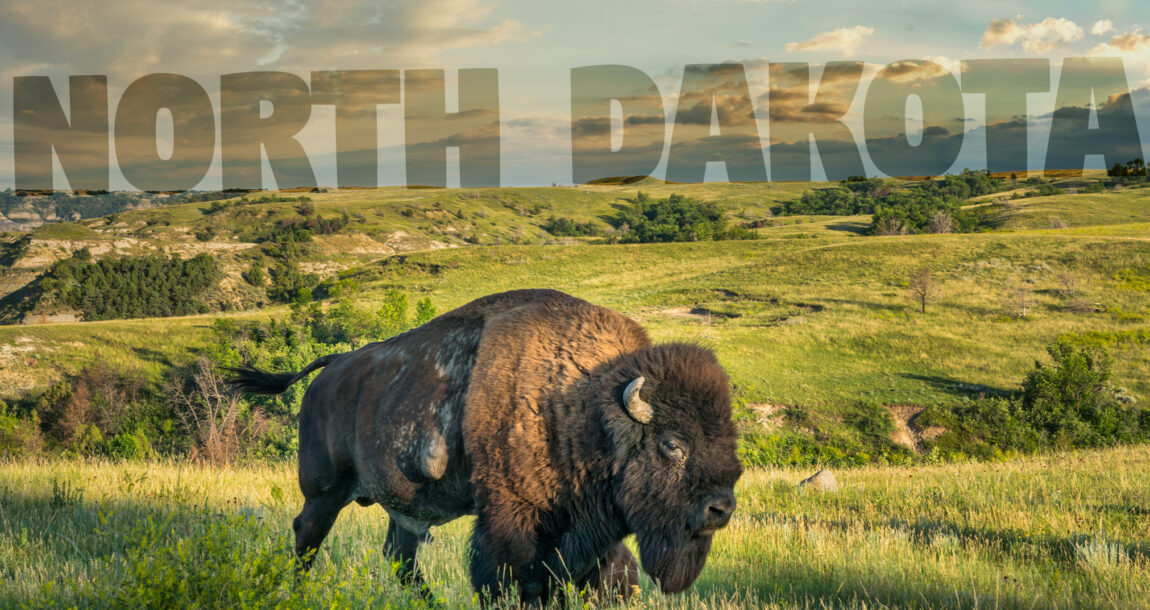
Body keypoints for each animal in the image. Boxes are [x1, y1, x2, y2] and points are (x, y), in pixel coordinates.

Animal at [228, 288, 740, 603]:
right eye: (673, 444)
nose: (721, 509)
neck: (581, 404)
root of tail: (332, 368)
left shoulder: (583, 530)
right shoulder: (511, 516)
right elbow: (509, 578)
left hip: (403, 507)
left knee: (400, 558)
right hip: (325, 492)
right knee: (306, 537)